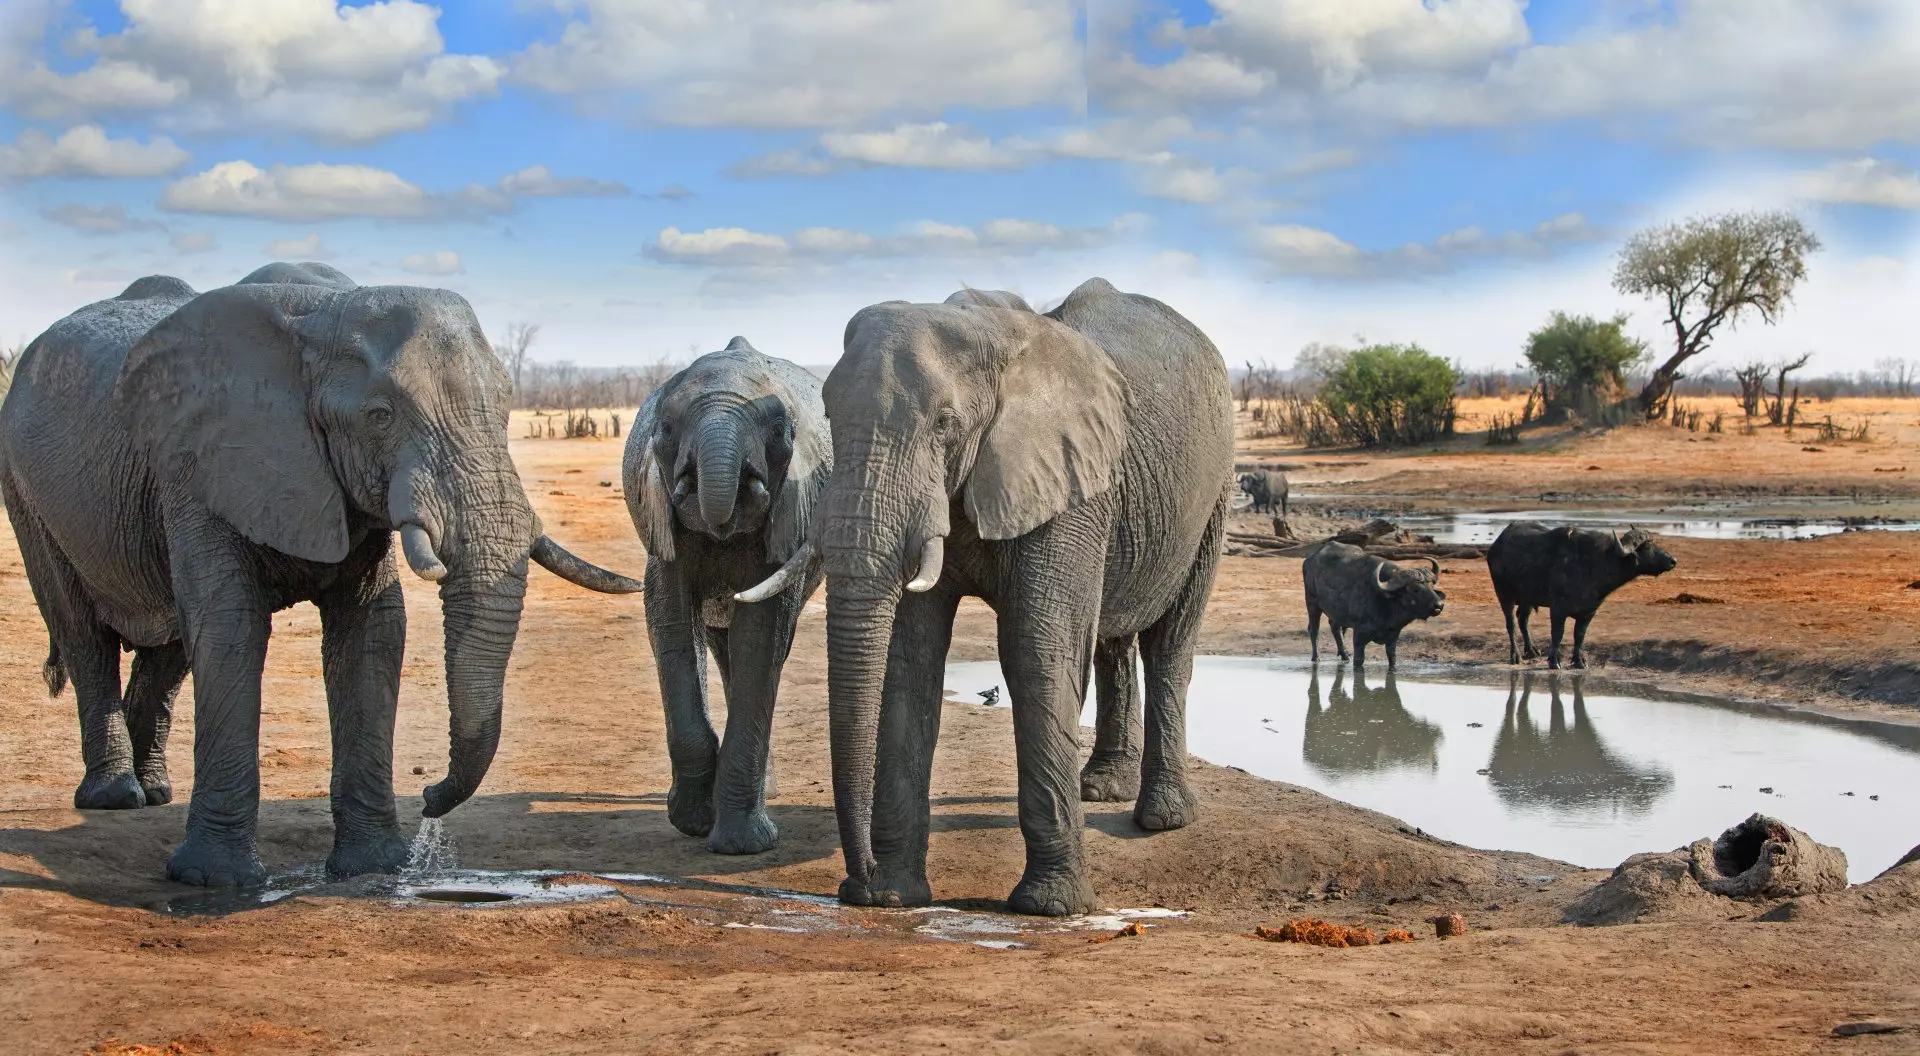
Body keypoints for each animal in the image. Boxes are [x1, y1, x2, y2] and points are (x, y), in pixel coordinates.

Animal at [0, 267, 642, 886]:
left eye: (507, 409)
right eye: (380, 416)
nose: (430, 796)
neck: (325, 313)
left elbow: (373, 629)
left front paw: (375, 868)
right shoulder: (205, 466)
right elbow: (230, 628)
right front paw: (214, 881)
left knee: (171, 645)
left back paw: (154, 791)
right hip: (26, 493)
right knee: (84, 634)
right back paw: (115, 797)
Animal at [622, 337, 829, 854]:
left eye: (779, 431)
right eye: (666, 428)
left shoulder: (787, 519)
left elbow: (762, 635)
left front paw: (742, 846)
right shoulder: (662, 529)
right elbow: (671, 624)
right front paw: (693, 821)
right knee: (718, 645)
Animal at [764, 277, 1234, 916]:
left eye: (944, 423)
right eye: (830, 413)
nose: (857, 882)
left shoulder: (1070, 484)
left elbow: (1037, 653)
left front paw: (1050, 907)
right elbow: (909, 661)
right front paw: (894, 896)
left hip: (1214, 493)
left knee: (1170, 642)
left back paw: (1162, 818)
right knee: (1111, 638)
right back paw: (1099, 788)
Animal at [1302, 541, 1445, 668]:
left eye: (1431, 586)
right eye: (1415, 589)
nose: (1438, 605)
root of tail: (1310, 560)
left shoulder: (1393, 637)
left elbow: (1392, 658)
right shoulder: (1359, 637)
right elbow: (1359, 660)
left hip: (1336, 611)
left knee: (1335, 628)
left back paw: (1345, 655)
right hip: (1312, 603)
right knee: (1314, 630)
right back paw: (1316, 658)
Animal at [1487, 522, 1677, 669]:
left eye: (1654, 543)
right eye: (1647, 546)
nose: (1673, 560)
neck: (1595, 564)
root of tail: (1496, 546)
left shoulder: (1589, 612)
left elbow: (1580, 635)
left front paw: (1579, 661)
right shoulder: (1557, 609)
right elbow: (1558, 634)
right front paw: (1554, 661)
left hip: (1527, 597)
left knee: (1523, 619)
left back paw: (1532, 650)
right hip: (1504, 594)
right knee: (1511, 623)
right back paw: (1516, 656)